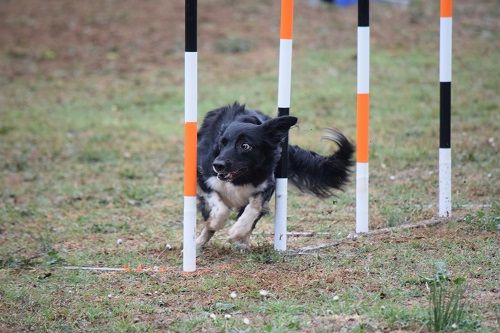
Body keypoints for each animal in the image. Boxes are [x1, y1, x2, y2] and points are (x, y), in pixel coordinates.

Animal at [195, 102, 356, 248]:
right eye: (222, 143)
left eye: (245, 146)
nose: (218, 165)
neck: (240, 178)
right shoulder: (204, 178)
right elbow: (220, 209)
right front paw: (215, 223)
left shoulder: (267, 184)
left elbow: (254, 208)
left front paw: (238, 231)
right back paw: (199, 242)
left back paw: (241, 242)